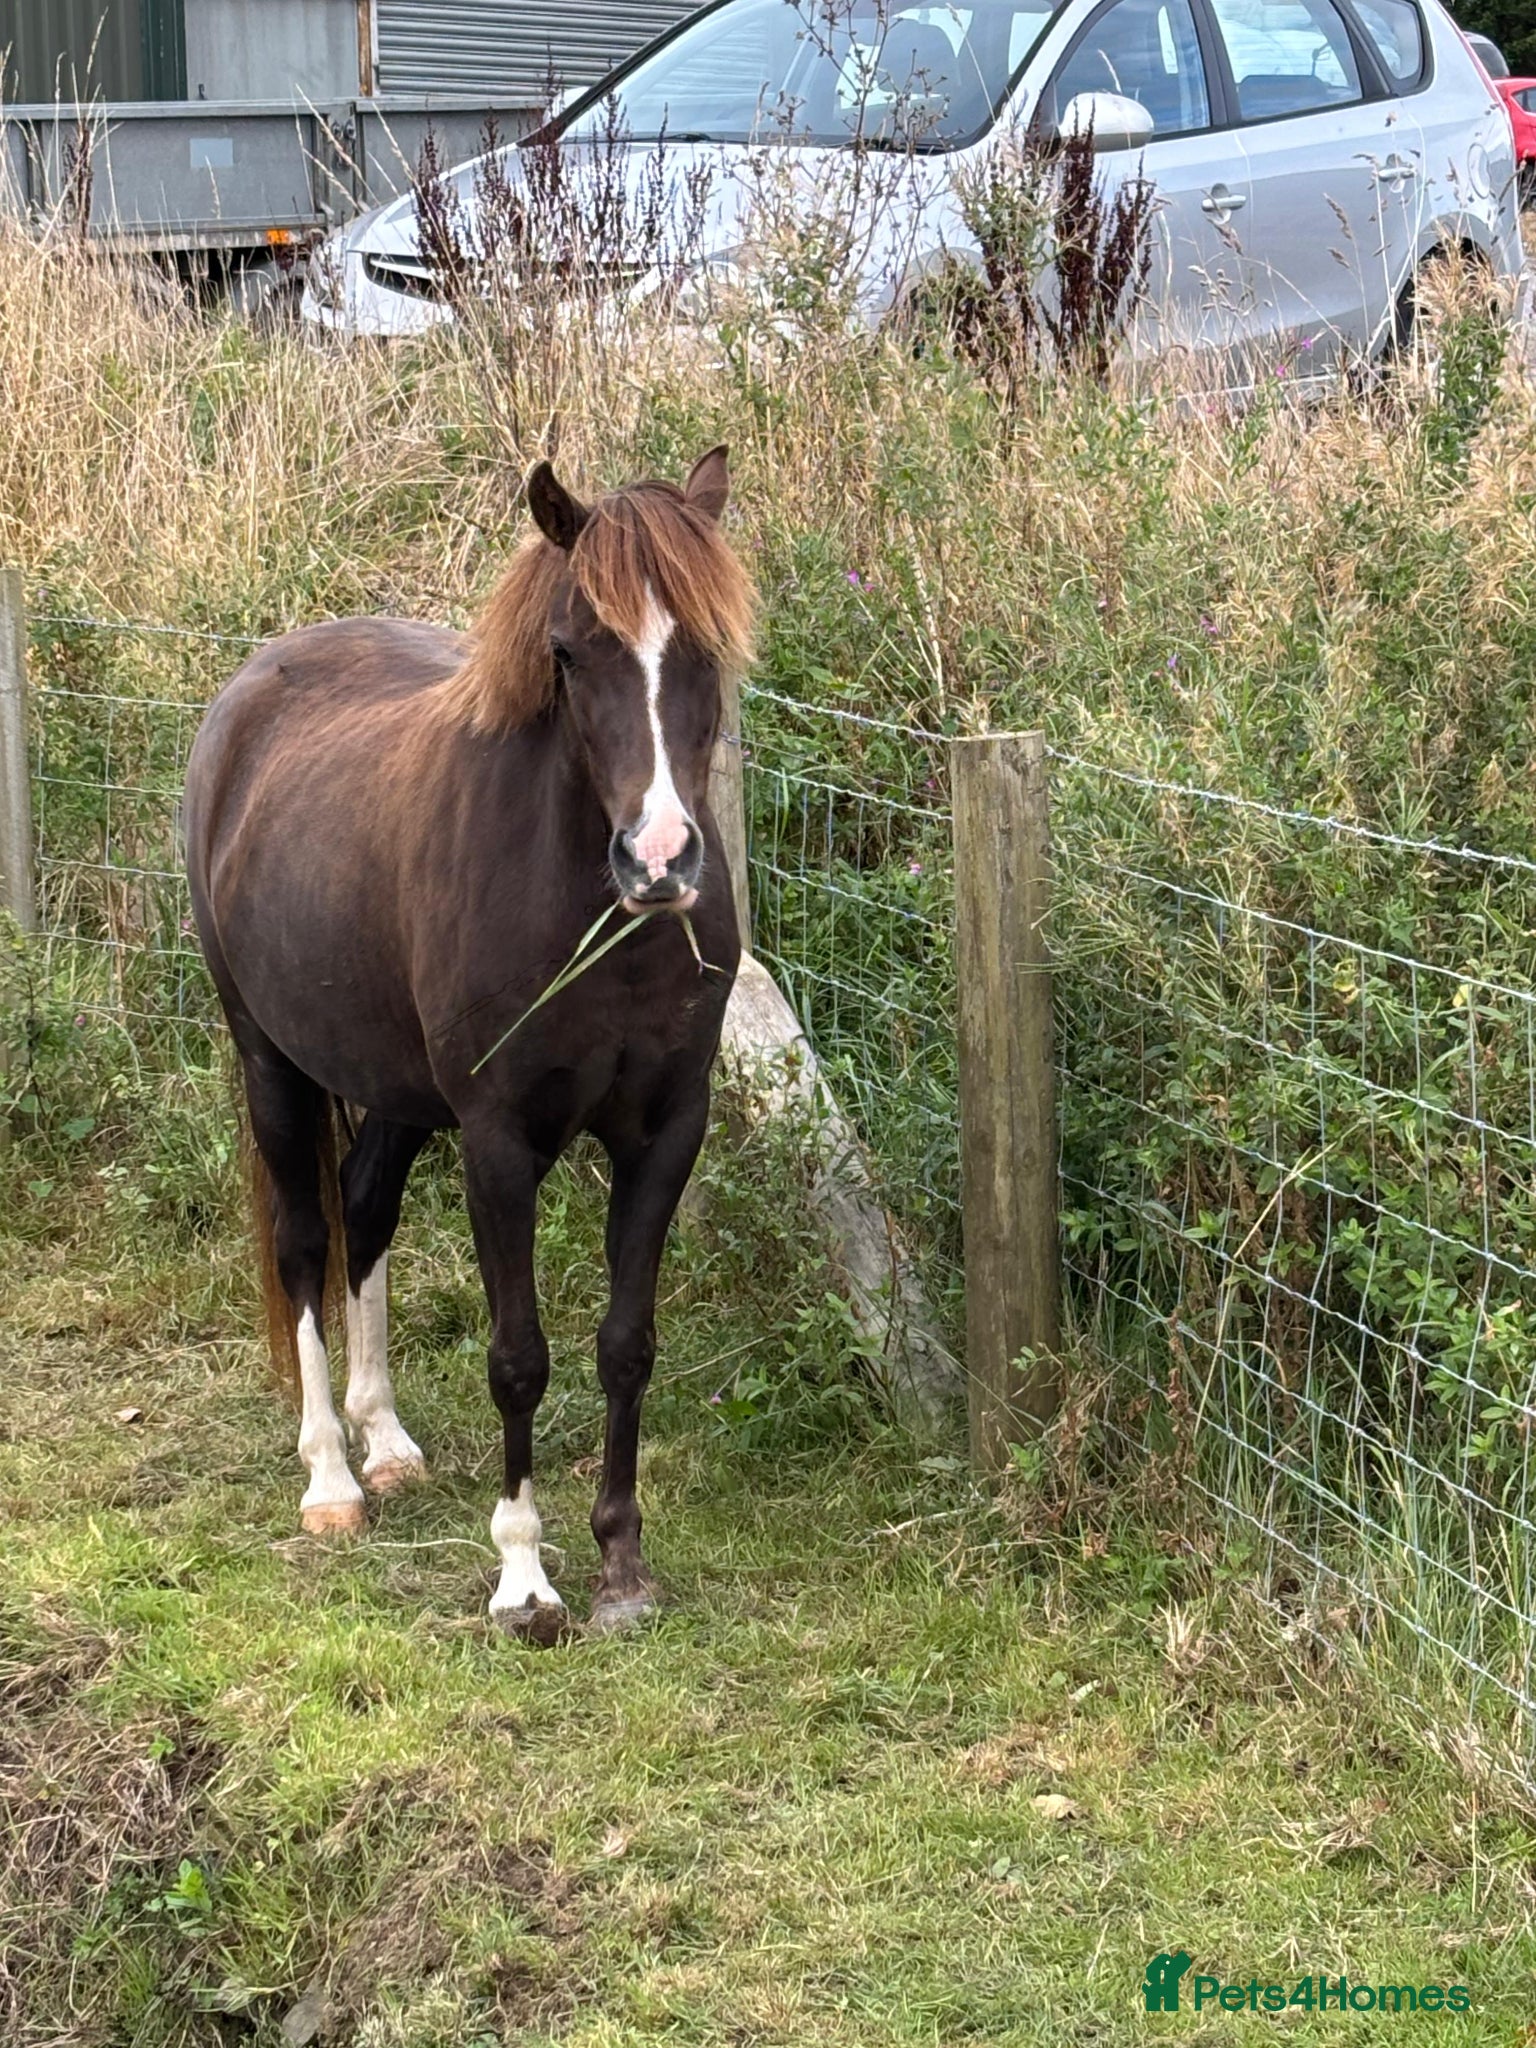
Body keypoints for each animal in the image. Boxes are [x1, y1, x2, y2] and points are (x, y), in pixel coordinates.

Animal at [183, 447, 753, 1639]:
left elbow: (626, 1345)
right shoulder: (498, 1143)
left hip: (395, 1088)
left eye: (709, 647)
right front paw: (523, 1577)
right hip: (270, 1060)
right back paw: (331, 1478)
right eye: (570, 650)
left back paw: (387, 1440)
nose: (661, 859)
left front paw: (623, 1566)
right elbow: (518, 1359)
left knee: (363, 1209)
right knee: (304, 1241)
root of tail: (249, 691)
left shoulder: (665, 1133)